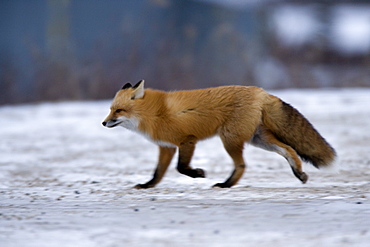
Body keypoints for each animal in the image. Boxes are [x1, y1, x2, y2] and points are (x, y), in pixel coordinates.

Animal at [101, 80, 336, 188]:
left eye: (118, 110)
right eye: (111, 109)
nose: (103, 123)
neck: (154, 113)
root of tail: (260, 91)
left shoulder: (187, 141)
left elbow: (181, 167)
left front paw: (198, 174)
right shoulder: (166, 146)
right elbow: (158, 172)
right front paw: (148, 186)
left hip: (230, 139)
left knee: (242, 165)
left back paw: (226, 184)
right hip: (257, 139)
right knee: (288, 150)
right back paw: (299, 173)